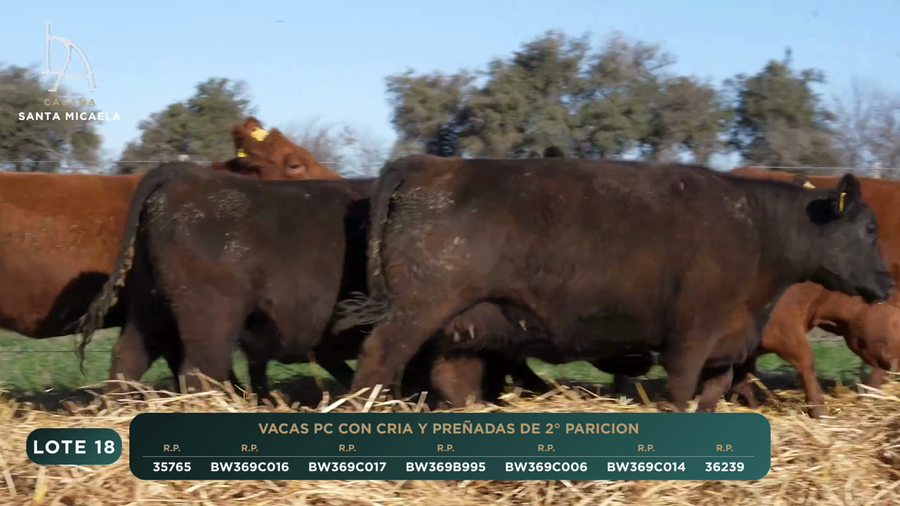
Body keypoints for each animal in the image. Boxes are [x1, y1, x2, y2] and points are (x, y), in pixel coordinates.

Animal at [335, 155, 894, 413]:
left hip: (466, 326)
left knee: (452, 382)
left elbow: (713, 394)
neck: (756, 229)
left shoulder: (729, 345)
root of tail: (429, 163)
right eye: (869, 229)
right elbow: (681, 390)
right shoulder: (691, 337)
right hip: (415, 311)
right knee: (376, 358)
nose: (888, 282)